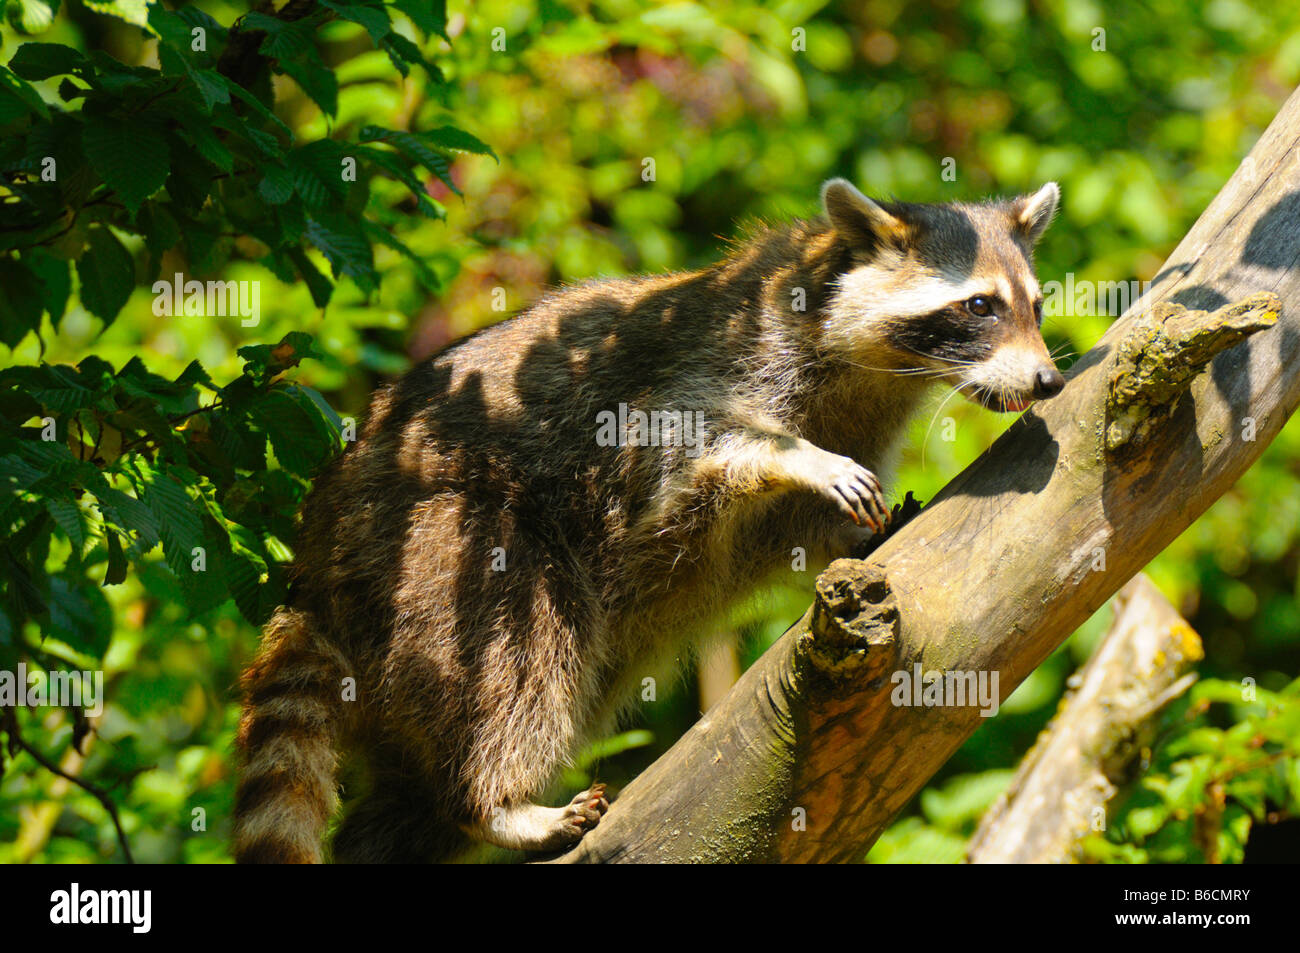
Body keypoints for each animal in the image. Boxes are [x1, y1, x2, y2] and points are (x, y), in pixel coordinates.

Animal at [236, 178, 1066, 863]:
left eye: (1035, 304)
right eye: (979, 306)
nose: (1048, 380)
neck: (878, 370)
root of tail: (317, 556)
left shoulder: (859, 410)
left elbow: (790, 530)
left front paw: (863, 529)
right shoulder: (725, 359)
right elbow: (690, 448)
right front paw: (797, 456)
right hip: (436, 536)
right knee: (517, 654)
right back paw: (493, 801)